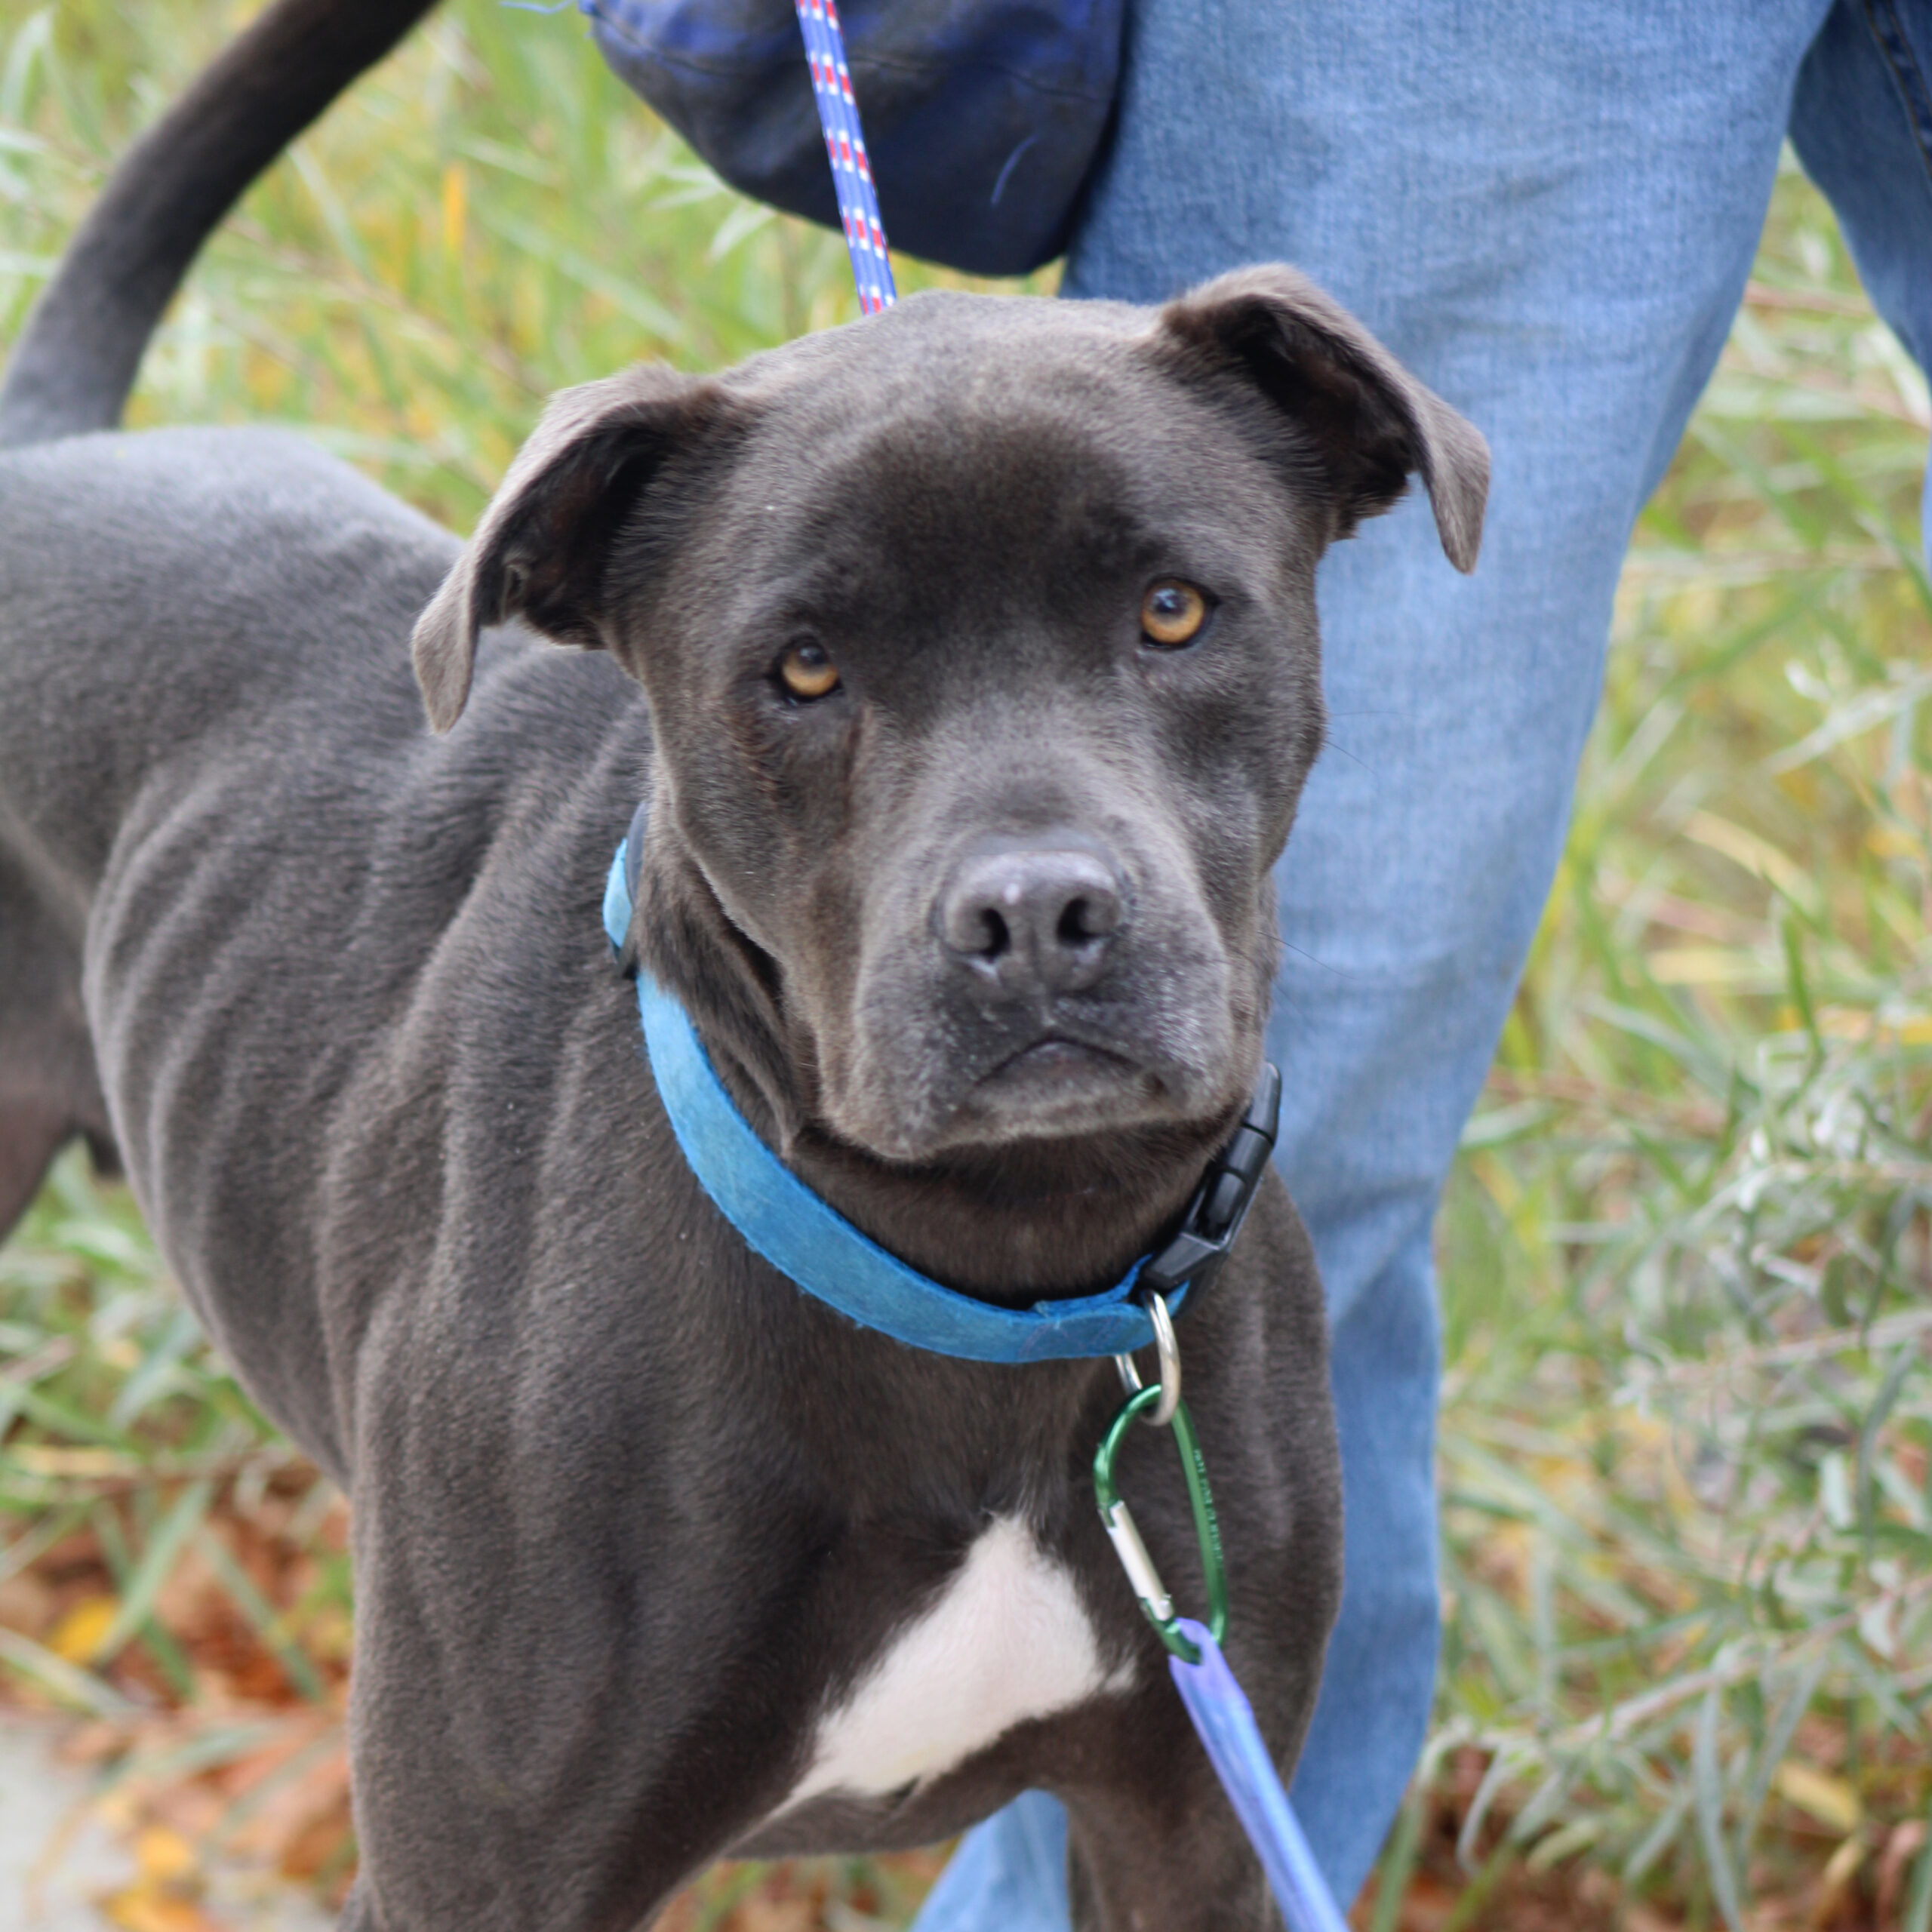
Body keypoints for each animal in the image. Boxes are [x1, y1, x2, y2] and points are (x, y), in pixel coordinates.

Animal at [0, 8, 1484, 1924]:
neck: (995, 1273)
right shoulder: (481, 1865)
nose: (1033, 918)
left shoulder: (1198, 1823)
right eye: (799, 667)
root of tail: (44, 455)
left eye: (1171, 608)